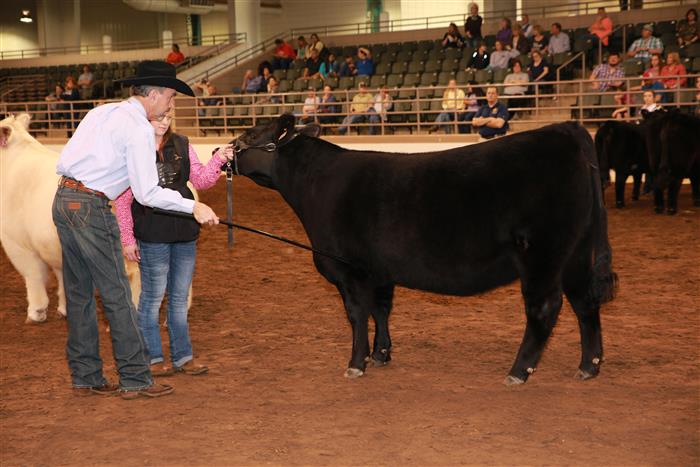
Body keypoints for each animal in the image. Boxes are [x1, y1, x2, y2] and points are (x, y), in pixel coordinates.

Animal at [0, 114, 142, 323]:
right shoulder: (55, 246)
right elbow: (63, 278)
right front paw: (64, 308)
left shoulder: (17, 243)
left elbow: (33, 276)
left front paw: (36, 312)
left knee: (133, 276)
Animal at [231, 114, 618, 385]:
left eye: (251, 135)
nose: (225, 152)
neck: (316, 183)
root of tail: (564, 129)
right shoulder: (379, 270)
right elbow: (381, 310)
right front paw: (381, 354)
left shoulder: (348, 269)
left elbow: (357, 314)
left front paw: (356, 363)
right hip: (574, 254)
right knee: (584, 301)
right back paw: (589, 365)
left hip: (542, 254)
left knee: (544, 308)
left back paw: (519, 370)